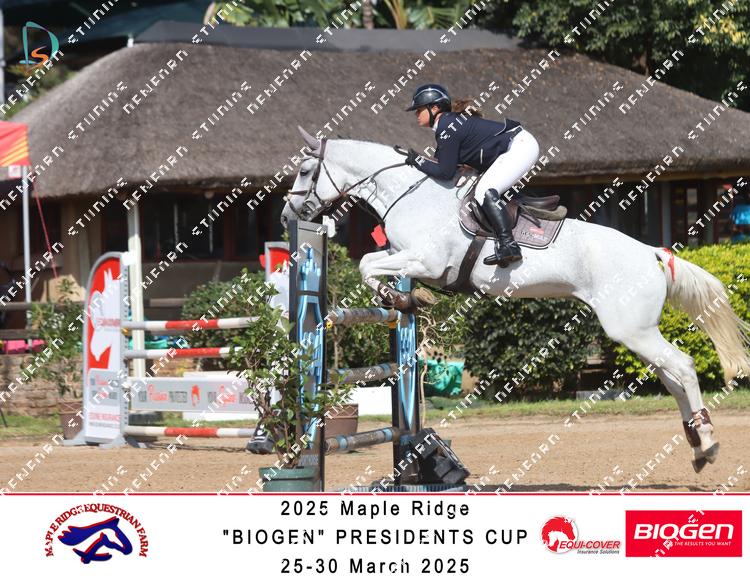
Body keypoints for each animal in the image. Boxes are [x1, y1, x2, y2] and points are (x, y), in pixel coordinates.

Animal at [281, 126, 750, 473]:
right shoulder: (407, 256)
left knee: (683, 368)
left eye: (304, 170)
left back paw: (708, 442)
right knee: (672, 378)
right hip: (635, 332)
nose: (287, 215)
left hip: (631, 329)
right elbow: (372, 262)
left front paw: (401, 298)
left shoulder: (426, 259)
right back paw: (696, 444)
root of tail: (651, 252)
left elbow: (366, 264)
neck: (410, 193)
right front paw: (404, 300)